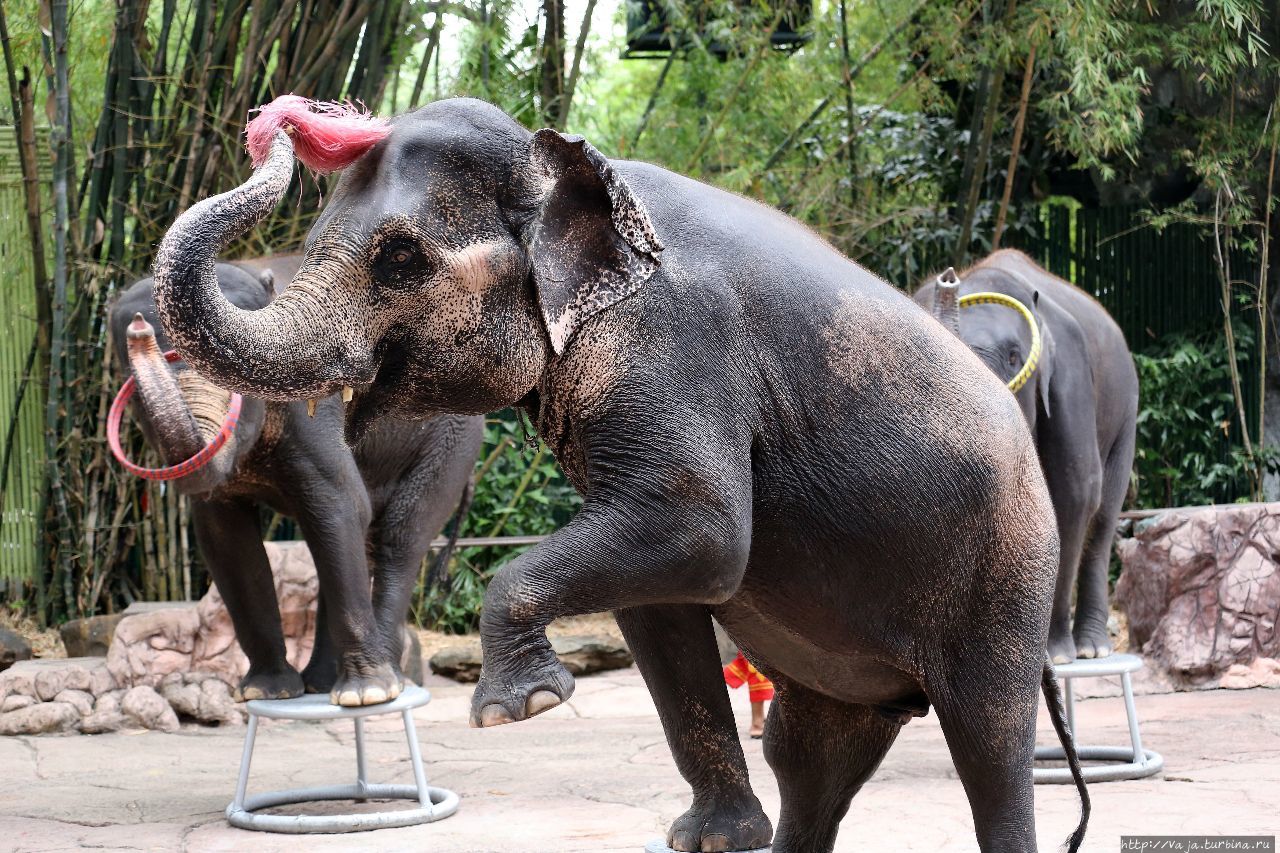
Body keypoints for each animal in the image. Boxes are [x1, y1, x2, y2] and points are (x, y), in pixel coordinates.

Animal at [107, 257, 481, 701]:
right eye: (133, 386)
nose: (139, 329)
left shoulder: (313, 410)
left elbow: (341, 505)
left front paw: (364, 694)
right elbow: (226, 540)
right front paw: (265, 692)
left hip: (450, 443)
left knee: (398, 538)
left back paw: (382, 685)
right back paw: (322, 683)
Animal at [149, 96, 1090, 845]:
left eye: (399, 259)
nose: (270, 127)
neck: (565, 162)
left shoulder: (676, 341)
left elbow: (701, 530)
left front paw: (517, 710)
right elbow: (660, 599)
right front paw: (712, 840)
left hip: (1005, 577)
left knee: (988, 739)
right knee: (812, 747)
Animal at [911, 252, 1141, 666]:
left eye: (1014, 356)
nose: (947, 279)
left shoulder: (1069, 374)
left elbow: (1074, 493)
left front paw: (1056, 655)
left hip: (1126, 416)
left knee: (1102, 517)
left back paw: (1091, 648)